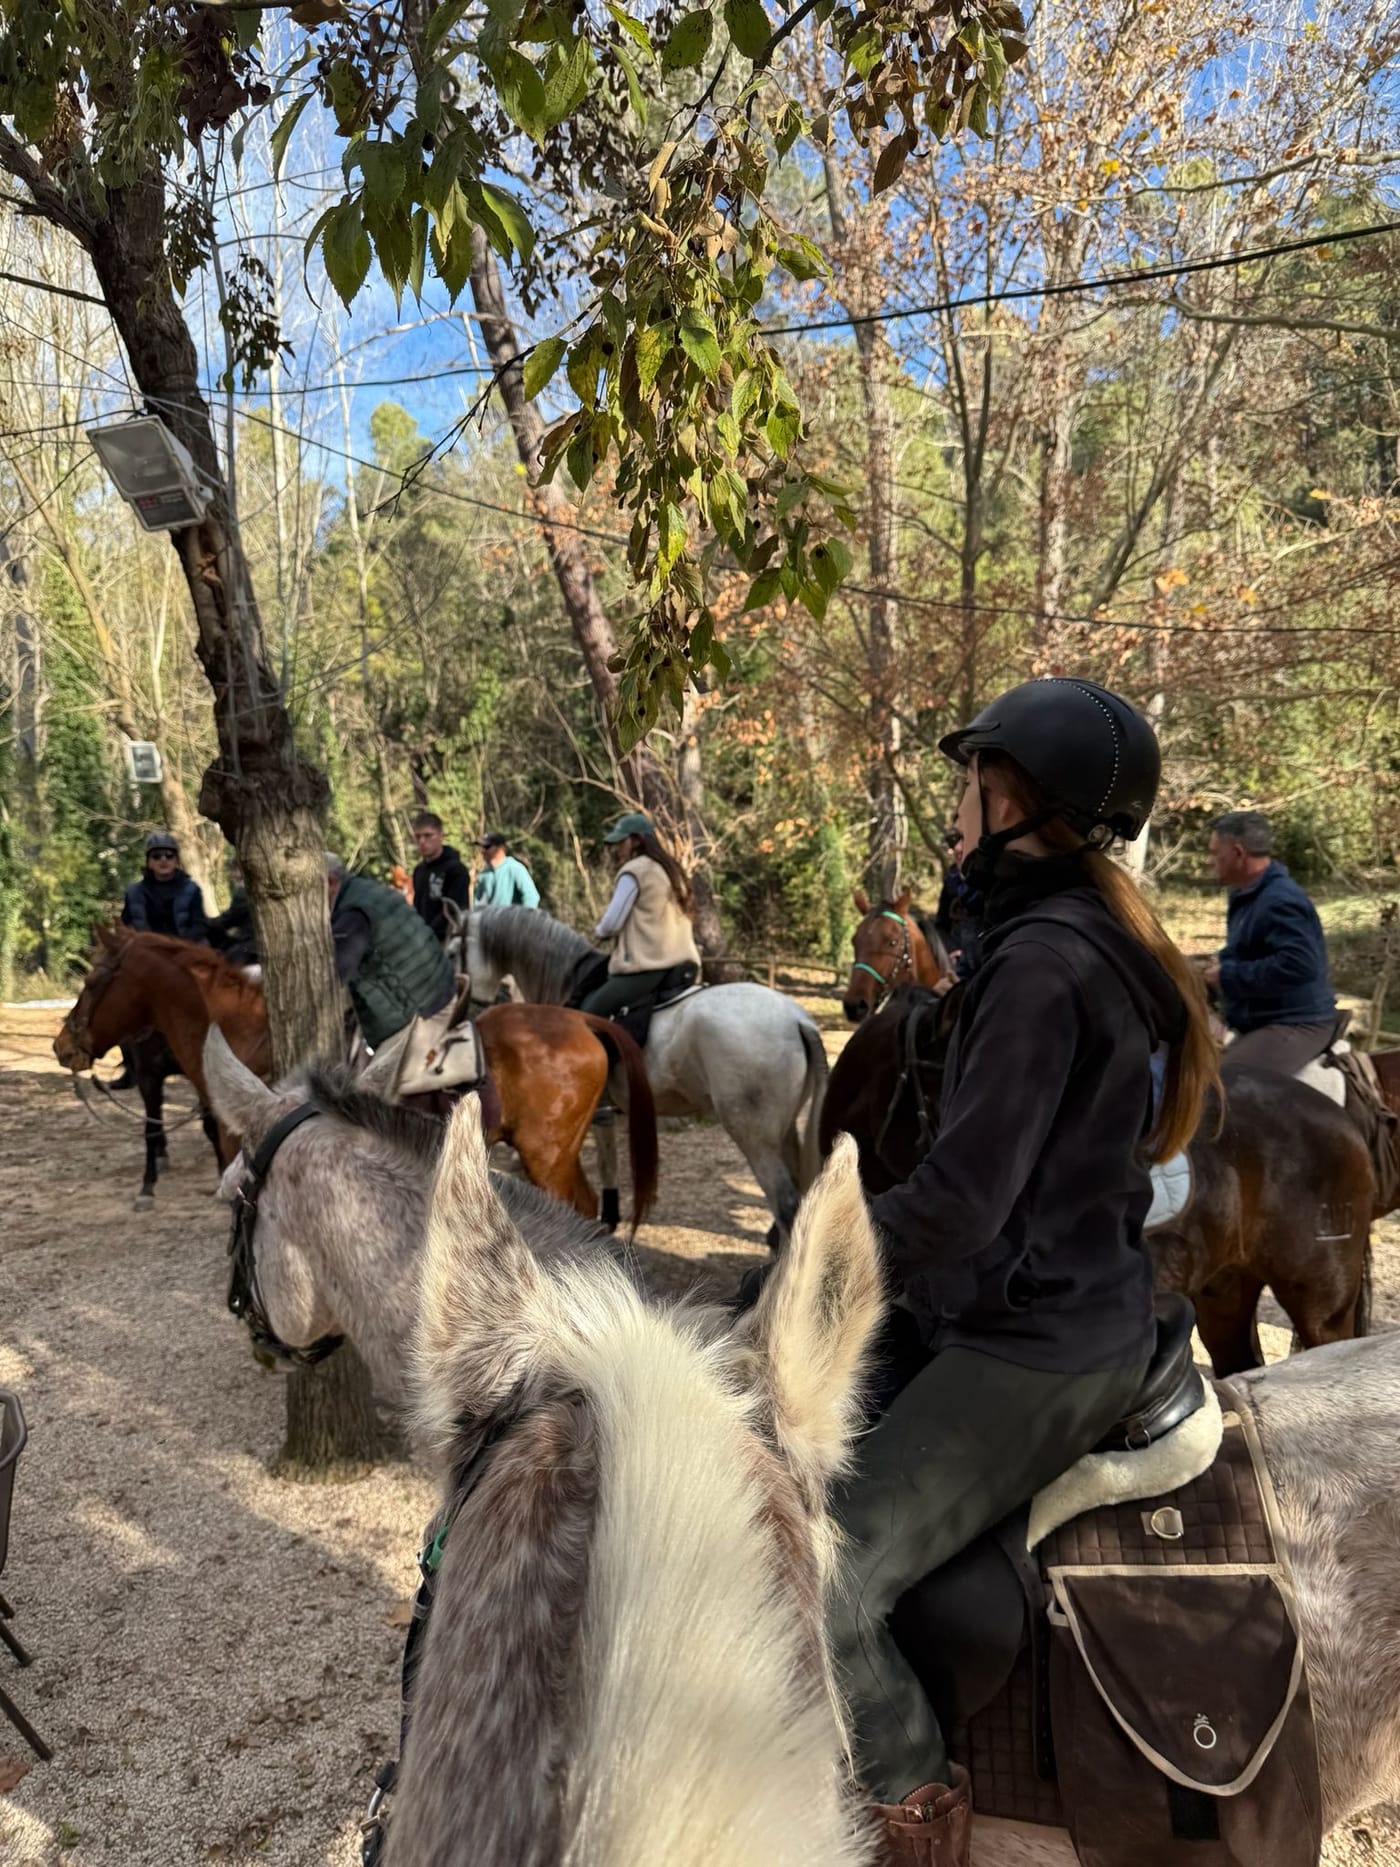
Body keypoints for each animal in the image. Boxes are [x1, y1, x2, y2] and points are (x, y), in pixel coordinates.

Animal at [448, 903, 829, 1243]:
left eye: (453, 951)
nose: (467, 1011)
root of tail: (798, 1019)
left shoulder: (595, 1113)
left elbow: (606, 1161)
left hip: (754, 1136)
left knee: (786, 1205)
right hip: (782, 1132)